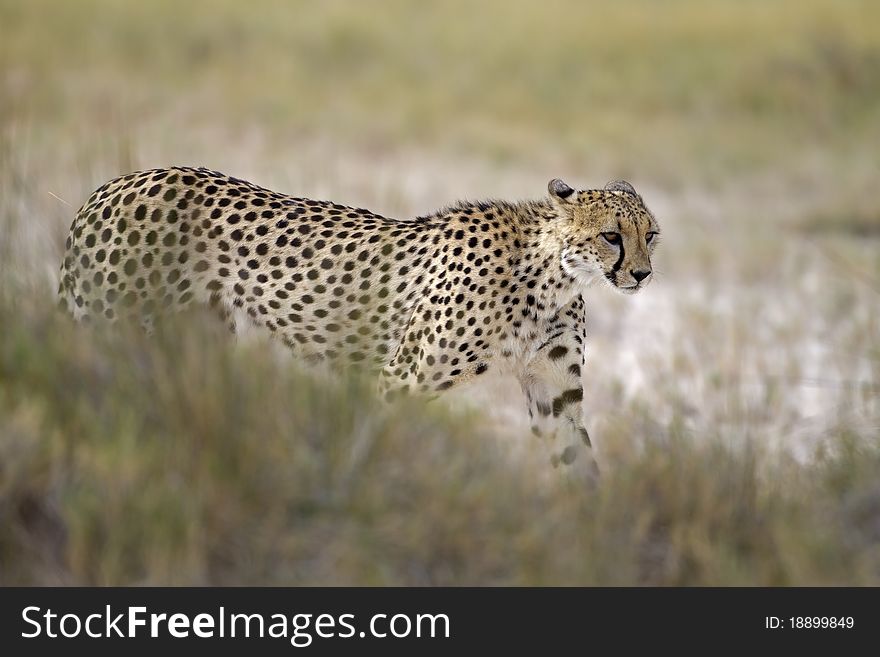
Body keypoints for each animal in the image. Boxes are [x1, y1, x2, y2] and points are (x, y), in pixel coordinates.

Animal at [60, 167, 660, 474]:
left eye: (650, 234)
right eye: (612, 235)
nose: (642, 274)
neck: (553, 275)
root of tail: (115, 184)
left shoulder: (555, 394)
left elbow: (578, 463)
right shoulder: (400, 380)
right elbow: (373, 448)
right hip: (110, 327)